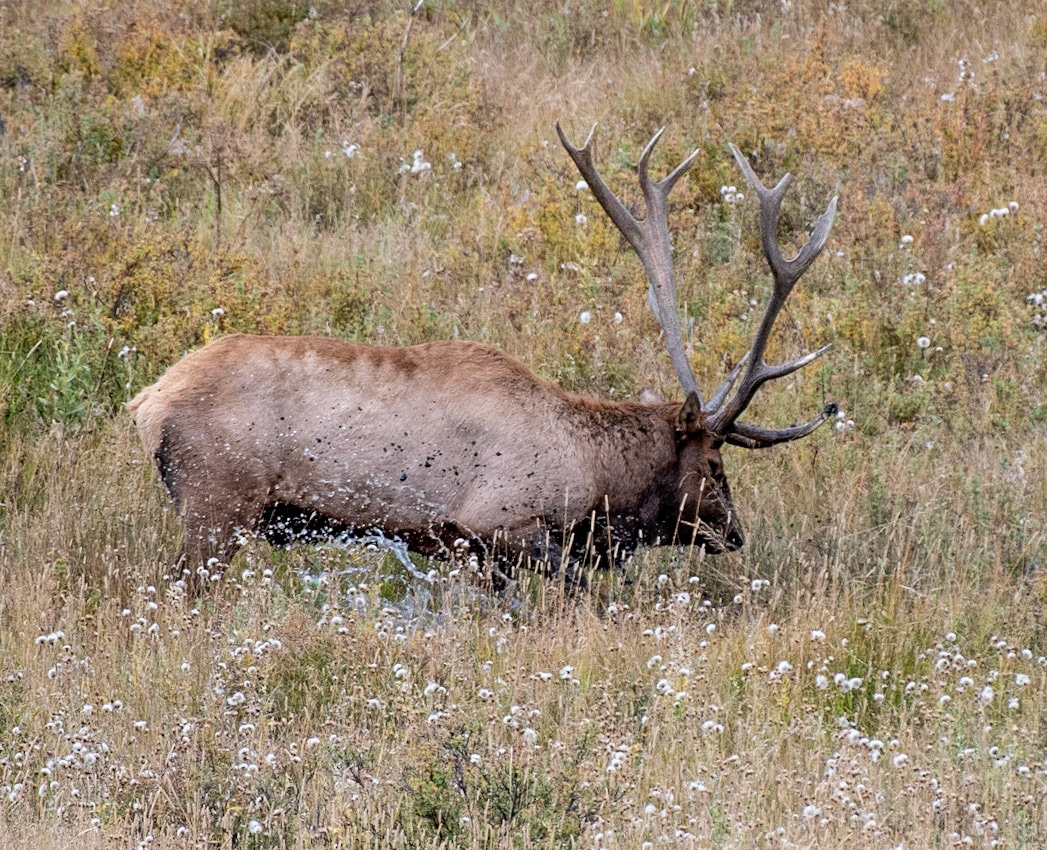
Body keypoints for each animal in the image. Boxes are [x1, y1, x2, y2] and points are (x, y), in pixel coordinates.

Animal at [127, 124, 838, 587]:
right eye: (715, 464)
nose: (735, 533)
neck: (591, 478)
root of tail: (147, 403)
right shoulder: (495, 526)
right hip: (217, 502)